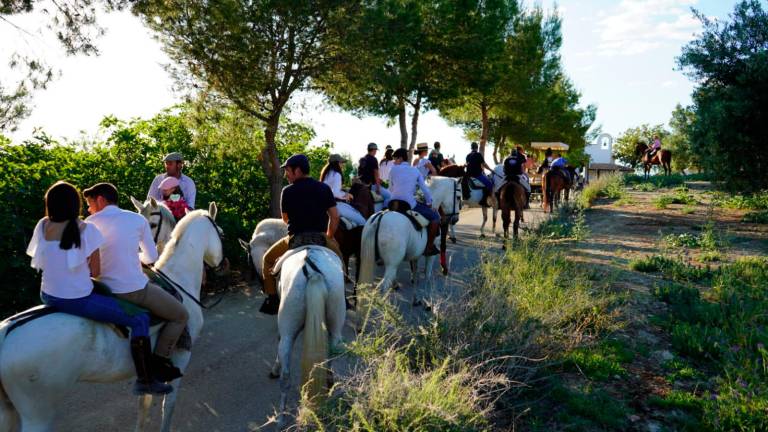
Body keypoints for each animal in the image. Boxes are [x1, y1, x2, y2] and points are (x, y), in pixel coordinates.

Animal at [0, 203, 224, 432]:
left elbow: (143, 404)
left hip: (7, 411)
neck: (178, 279)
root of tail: (6, 333)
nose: (222, 265)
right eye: (222, 233)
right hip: (38, 415)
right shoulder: (181, 357)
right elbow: (167, 406)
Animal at [268, 245, 344, 426]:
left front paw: (274, 369)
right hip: (336, 324)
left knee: (285, 376)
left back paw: (281, 418)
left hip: (288, 331)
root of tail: (311, 270)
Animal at [356, 176, 460, 304]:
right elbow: (427, 275)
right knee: (382, 287)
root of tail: (379, 218)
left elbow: (415, 272)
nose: (455, 219)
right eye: (458, 197)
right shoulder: (430, 256)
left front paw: (416, 297)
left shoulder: (415, 254)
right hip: (392, 264)